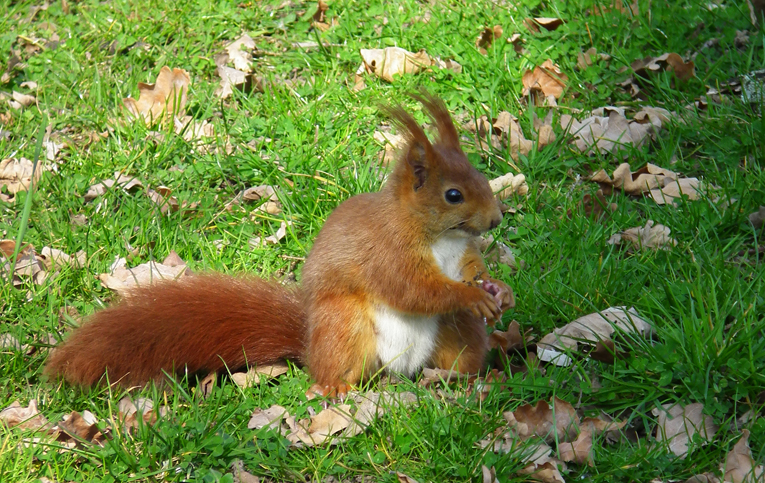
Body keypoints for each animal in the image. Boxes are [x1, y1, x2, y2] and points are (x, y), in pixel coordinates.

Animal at [44, 93, 516, 398]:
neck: (442, 237)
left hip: (453, 334)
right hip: (345, 327)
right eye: (453, 195)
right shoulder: (388, 253)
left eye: (479, 173)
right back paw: (337, 388)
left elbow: (472, 270)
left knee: (457, 360)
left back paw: (469, 379)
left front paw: (498, 289)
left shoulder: (462, 253)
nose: (495, 219)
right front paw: (470, 295)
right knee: (333, 373)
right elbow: (414, 289)